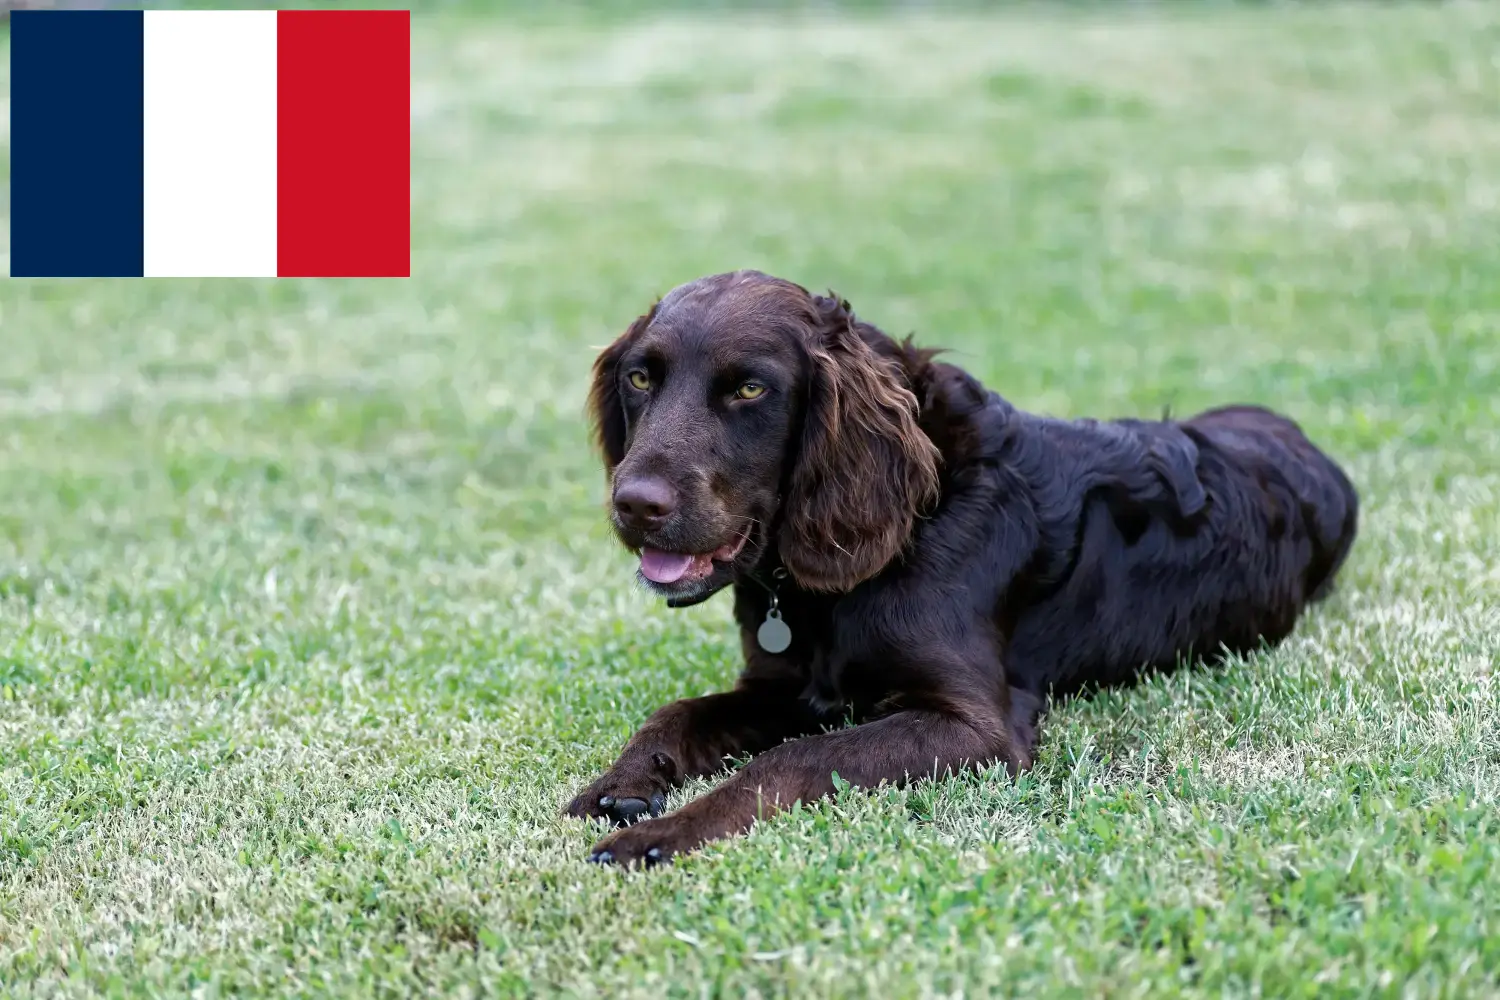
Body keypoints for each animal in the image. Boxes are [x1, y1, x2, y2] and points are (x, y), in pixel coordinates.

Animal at [564, 269, 1362, 863]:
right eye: (640, 379)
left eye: (751, 389)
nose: (635, 504)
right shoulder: (783, 685)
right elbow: (675, 714)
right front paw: (621, 782)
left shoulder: (975, 726)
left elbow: (792, 760)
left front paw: (664, 831)